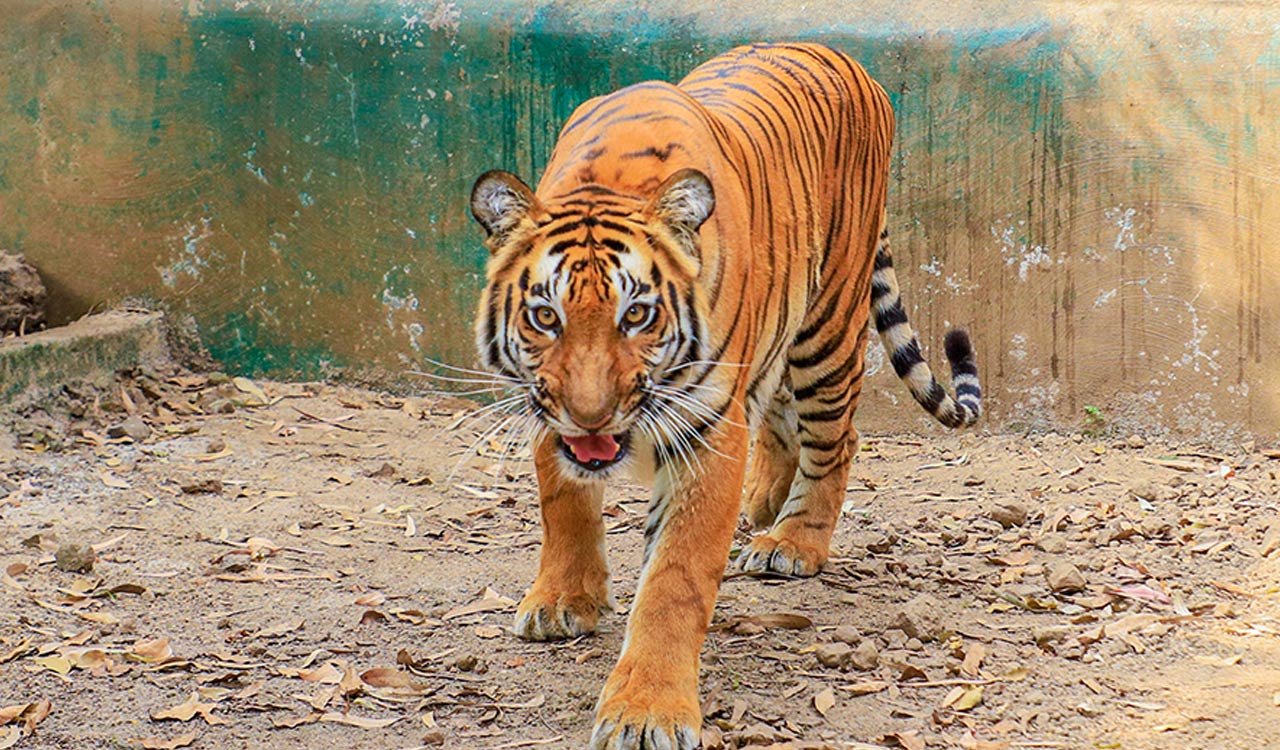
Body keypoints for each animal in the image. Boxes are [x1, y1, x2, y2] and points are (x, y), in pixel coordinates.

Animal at [468, 42, 981, 750]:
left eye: (637, 315)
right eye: (546, 316)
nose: (591, 416)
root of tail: (849, 59)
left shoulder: (705, 429)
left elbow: (674, 580)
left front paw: (646, 712)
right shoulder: (545, 407)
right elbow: (563, 506)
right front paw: (562, 602)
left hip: (828, 323)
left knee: (837, 436)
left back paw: (792, 542)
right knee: (781, 414)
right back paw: (764, 501)